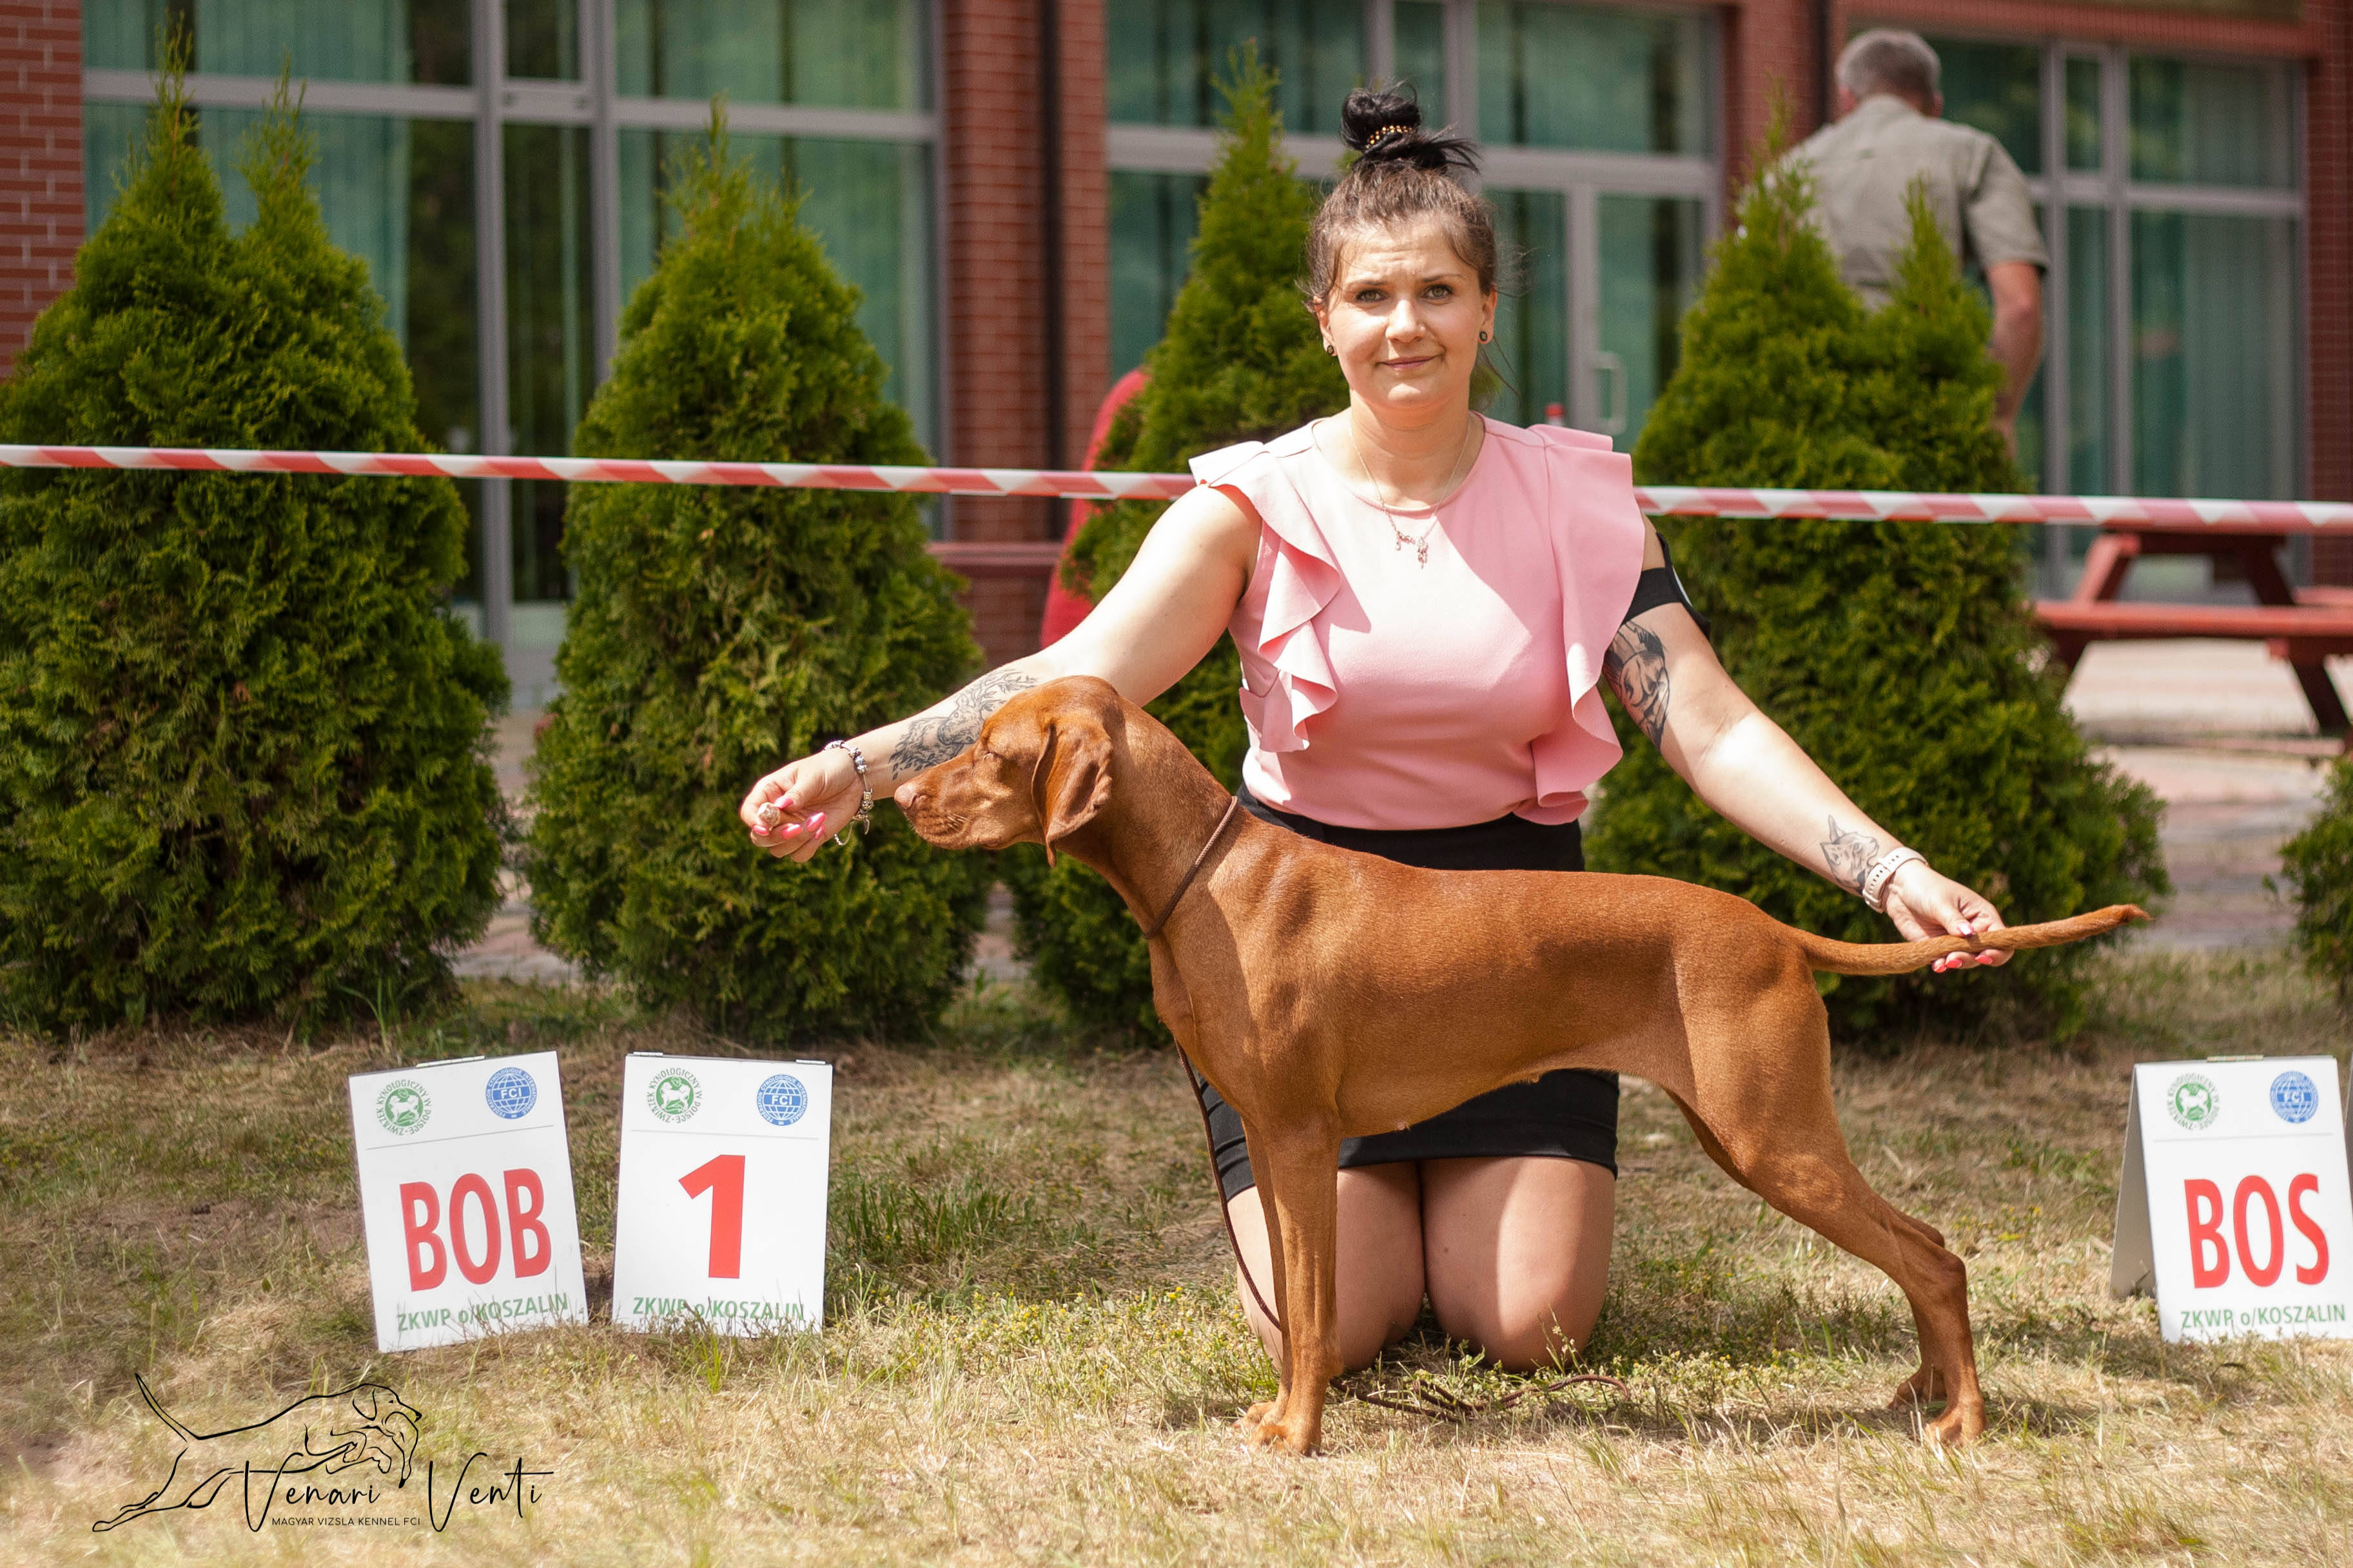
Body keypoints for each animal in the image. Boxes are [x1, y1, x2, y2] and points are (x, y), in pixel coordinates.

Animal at [93, 1376, 422, 1532]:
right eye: (392, 1400)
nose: (418, 1415)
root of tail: (194, 1441)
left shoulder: (331, 1459)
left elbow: (368, 1445)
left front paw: (383, 1460)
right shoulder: (315, 1449)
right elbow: (362, 1437)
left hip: (191, 1494)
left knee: (146, 1501)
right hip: (180, 1490)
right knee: (143, 1507)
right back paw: (107, 1525)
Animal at [895, 676, 2146, 1453]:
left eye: (994, 752)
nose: (901, 795)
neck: (1212, 881)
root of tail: (1775, 930)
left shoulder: (1299, 1136)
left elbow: (1314, 1307)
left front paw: (1298, 1434)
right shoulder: (1268, 1137)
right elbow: (1302, 1302)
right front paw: (1282, 1417)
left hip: (1771, 1138)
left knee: (1931, 1256)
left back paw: (1964, 1417)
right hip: (1754, 1134)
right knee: (1925, 1249)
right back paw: (1928, 1390)